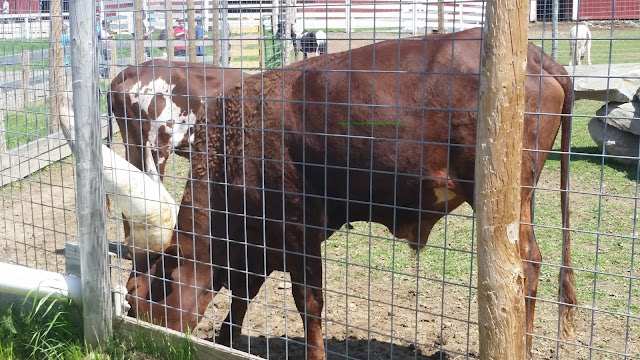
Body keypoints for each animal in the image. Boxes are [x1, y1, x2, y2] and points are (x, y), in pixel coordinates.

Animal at [124, 26, 576, 358]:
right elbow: (242, 297)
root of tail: (539, 58)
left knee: (524, 270)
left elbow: (308, 304)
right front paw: (223, 340)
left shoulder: (299, 231)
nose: (139, 337)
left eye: (137, 293)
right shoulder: (260, 242)